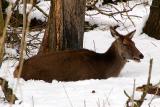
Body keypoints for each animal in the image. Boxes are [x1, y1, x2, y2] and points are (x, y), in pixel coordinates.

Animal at [13, 26, 144, 82]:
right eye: (125, 44)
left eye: (134, 42)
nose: (141, 55)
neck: (104, 69)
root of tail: (16, 69)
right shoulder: (85, 76)